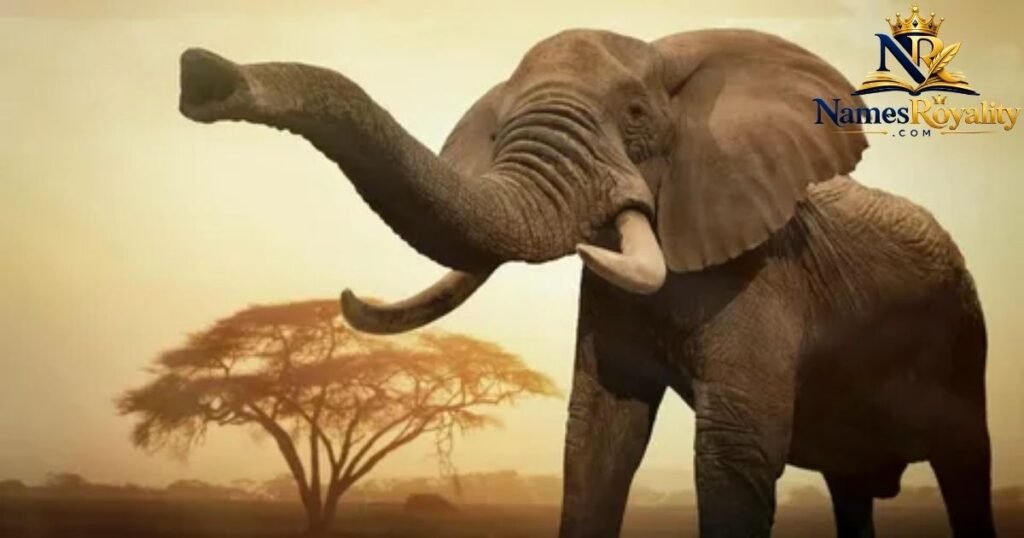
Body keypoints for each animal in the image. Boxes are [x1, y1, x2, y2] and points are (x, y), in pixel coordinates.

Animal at [177, 28, 994, 538]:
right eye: (500, 129)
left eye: (635, 115)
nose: (200, 76)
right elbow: (597, 439)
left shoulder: (767, 277)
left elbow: (734, 448)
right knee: (853, 490)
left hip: (964, 334)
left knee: (965, 466)